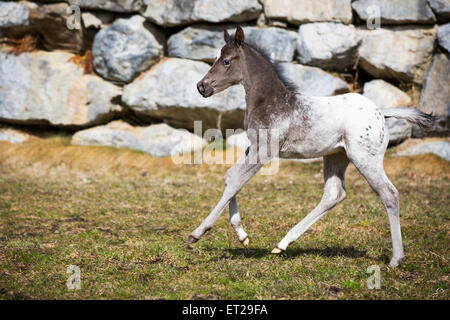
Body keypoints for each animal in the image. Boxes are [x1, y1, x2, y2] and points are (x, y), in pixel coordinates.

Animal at [187, 26, 432, 268]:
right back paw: (282, 244)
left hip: (365, 158)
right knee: (334, 194)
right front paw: (242, 236)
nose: (201, 86)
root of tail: (381, 112)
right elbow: (231, 176)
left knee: (389, 194)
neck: (272, 102)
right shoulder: (254, 147)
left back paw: (396, 259)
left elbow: (236, 181)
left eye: (226, 61)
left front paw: (197, 233)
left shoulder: (265, 151)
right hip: (336, 156)